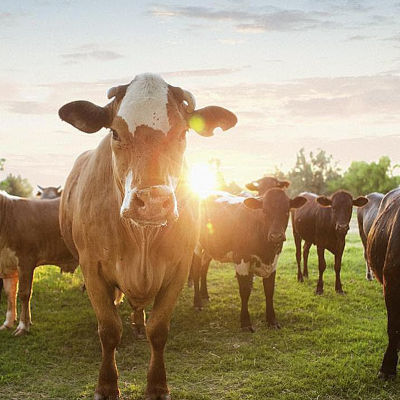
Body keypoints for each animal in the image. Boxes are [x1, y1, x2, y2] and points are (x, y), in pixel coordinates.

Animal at [0, 191, 77, 334]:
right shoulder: (8, 265)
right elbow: (10, 294)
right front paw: (7, 323)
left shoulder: (26, 261)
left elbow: (24, 293)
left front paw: (23, 326)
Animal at [57, 72, 236, 400]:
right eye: (115, 133)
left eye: (182, 133)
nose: (152, 201)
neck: (142, 239)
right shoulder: (91, 267)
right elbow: (108, 329)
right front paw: (106, 385)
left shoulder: (179, 268)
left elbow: (159, 330)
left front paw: (157, 385)